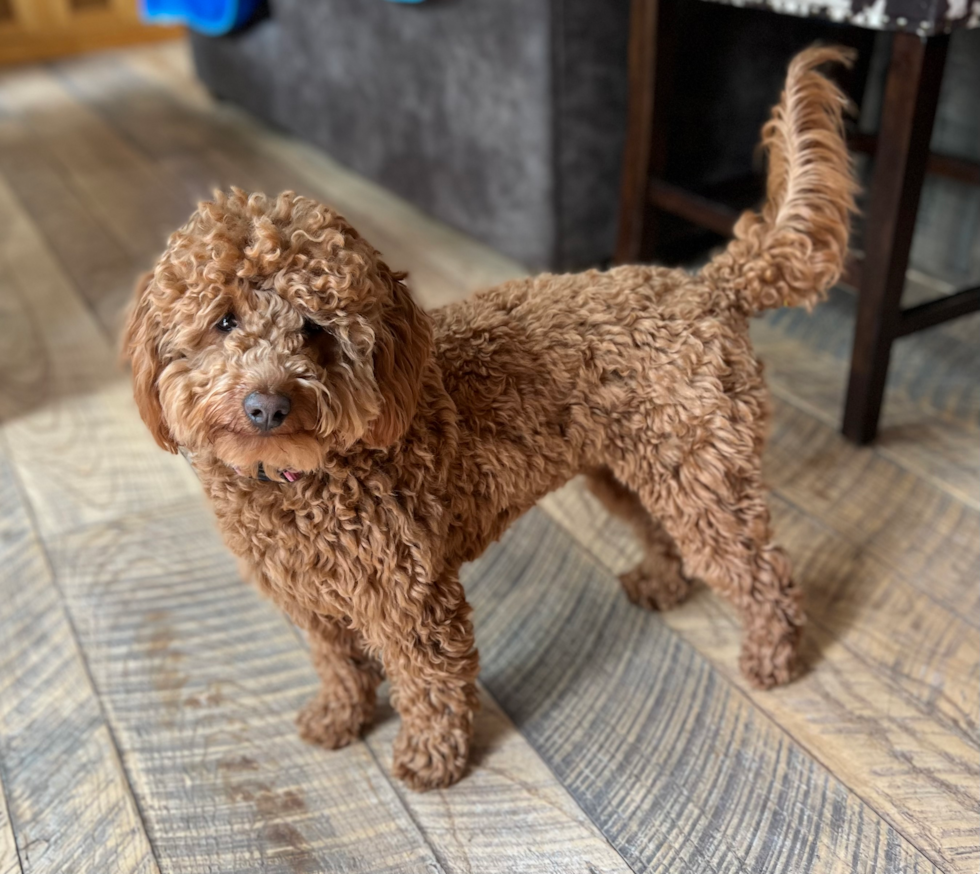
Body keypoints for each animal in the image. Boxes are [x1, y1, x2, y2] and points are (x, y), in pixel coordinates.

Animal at [124, 44, 856, 788]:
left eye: (316, 329)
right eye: (224, 320)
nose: (268, 405)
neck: (302, 480)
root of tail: (709, 289)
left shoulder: (410, 598)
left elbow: (431, 684)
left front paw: (431, 759)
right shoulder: (313, 602)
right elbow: (338, 666)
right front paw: (338, 718)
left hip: (702, 475)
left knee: (762, 571)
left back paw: (773, 656)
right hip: (636, 467)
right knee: (661, 528)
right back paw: (661, 583)